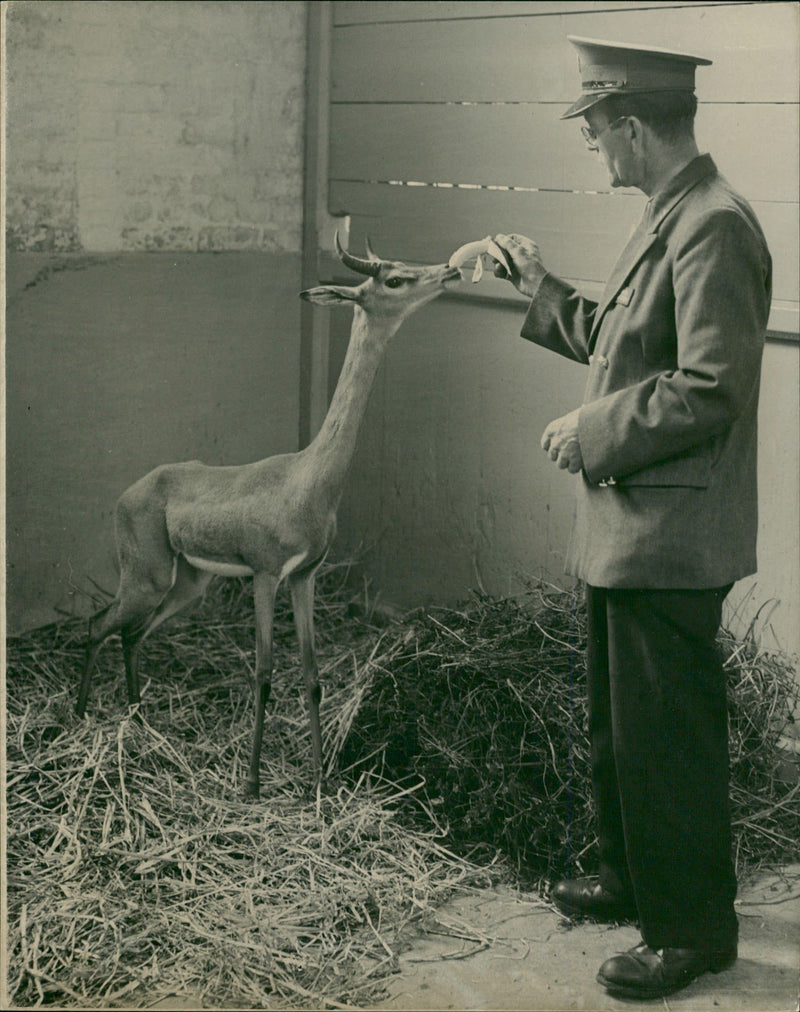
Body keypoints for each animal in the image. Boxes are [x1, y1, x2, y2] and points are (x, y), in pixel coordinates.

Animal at [78, 236, 463, 797]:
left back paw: (138, 714)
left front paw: (319, 780)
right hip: (145, 578)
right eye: (393, 279)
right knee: (96, 625)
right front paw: (254, 783)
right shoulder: (264, 576)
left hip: (188, 583)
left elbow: (312, 674)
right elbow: (263, 672)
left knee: (131, 634)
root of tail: (129, 494)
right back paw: (82, 715)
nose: (450, 271)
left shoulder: (304, 576)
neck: (307, 479)